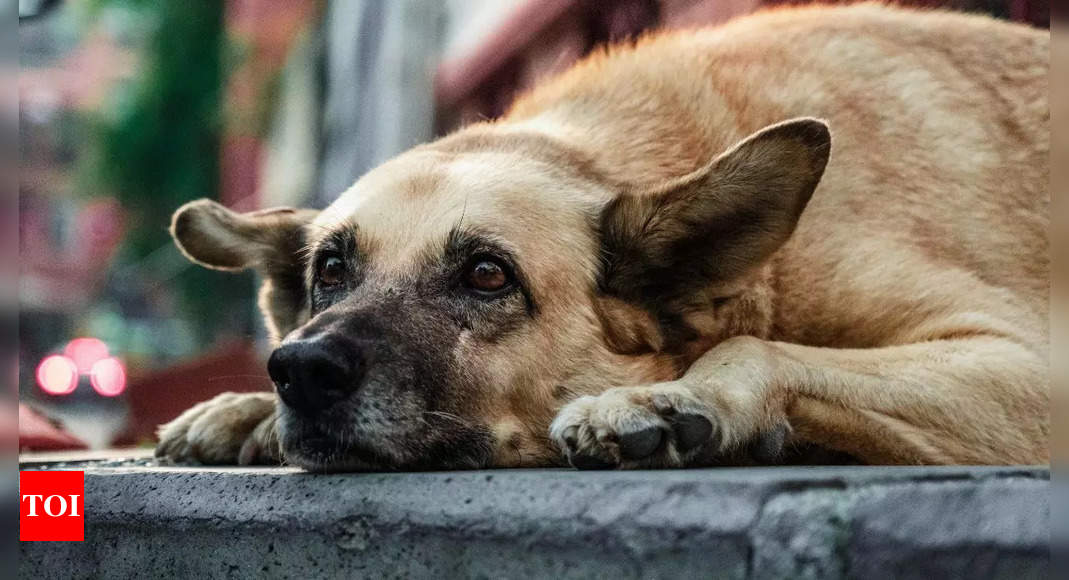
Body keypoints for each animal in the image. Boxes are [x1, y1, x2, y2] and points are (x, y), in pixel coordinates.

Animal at [155, 4, 1047, 472]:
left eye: (487, 275)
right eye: (331, 270)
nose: (300, 370)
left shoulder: (1030, 368)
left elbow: (757, 349)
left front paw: (673, 397)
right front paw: (247, 411)